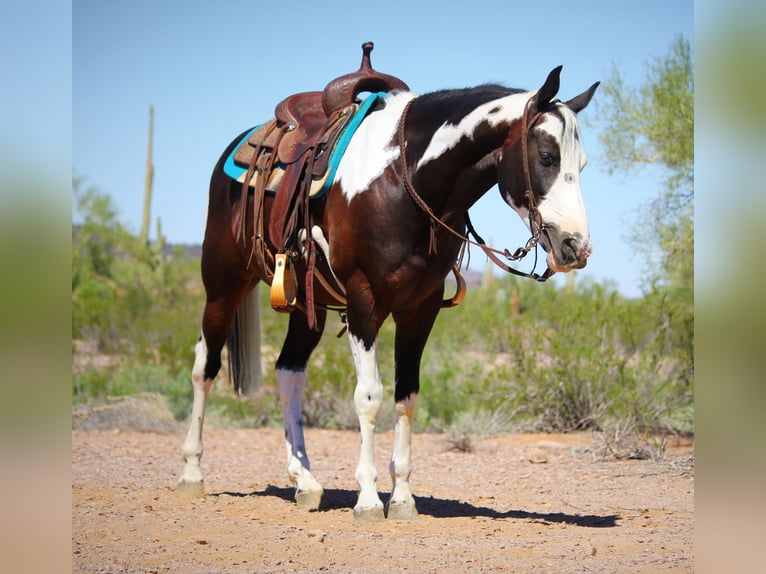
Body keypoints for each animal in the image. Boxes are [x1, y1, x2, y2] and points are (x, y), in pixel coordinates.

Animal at [176, 54, 599, 525]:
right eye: (546, 155)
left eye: (581, 165)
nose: (577, 247)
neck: (405, 178)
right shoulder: (364, 303)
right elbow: (369, 398)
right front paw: (366, 498)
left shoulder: (420, 309)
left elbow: (406, 398)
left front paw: (401, 498)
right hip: (223, 283)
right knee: (204, 366)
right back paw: (192, 472)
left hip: (308, 305)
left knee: (288, 373)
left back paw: (305, 481)